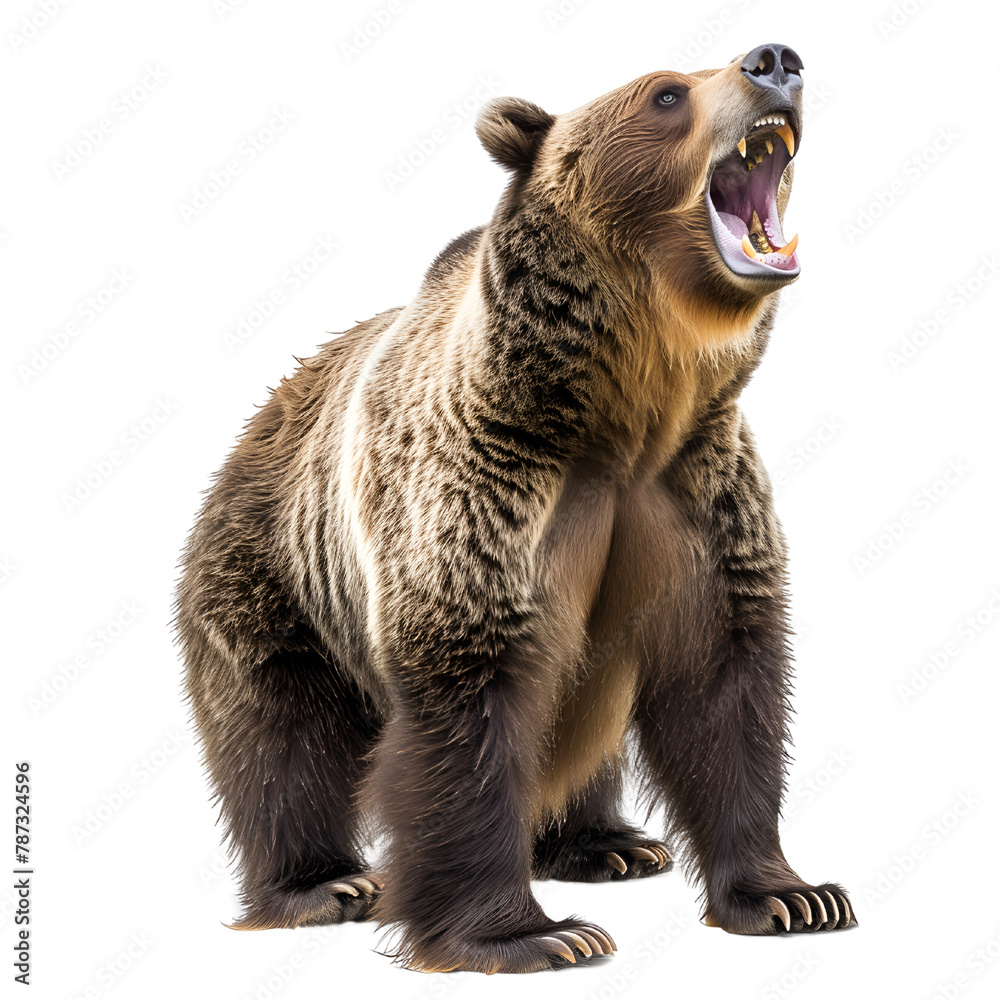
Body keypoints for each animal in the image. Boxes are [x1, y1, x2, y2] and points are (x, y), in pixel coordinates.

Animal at [176, 42, 855, 975]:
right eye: (665, 93)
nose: (775, 60)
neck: (622, 414)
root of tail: (260, 415)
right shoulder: (489, 488)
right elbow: (471, 695)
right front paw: (533, 934)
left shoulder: (697, 494)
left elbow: (725, 679)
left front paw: (794, 895)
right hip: (273, 570)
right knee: (283, 737)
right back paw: (323, 884)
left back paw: (606, 843)